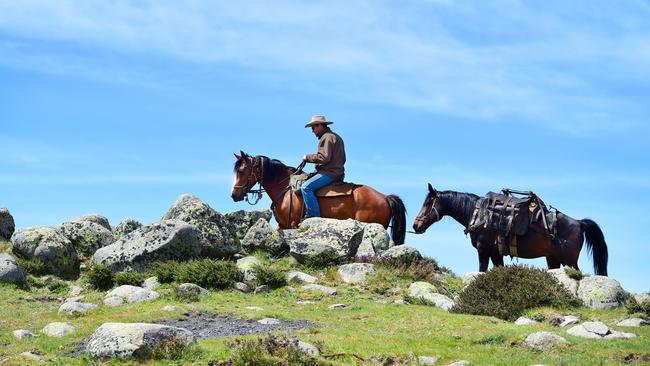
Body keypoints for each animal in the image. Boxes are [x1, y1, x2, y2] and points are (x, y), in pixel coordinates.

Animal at [410, 184, 608, 276]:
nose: (415, 225)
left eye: (427, 203)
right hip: (553, 259)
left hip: (568, 260)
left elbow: (481, 270)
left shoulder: (483, 250)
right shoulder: (495, 253)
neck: (479, 213)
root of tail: (579, 223)